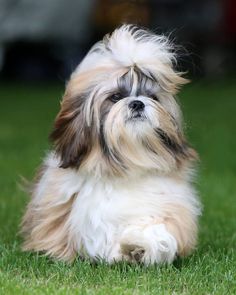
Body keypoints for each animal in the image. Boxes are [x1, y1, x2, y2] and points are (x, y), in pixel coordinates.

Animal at [21, 24, 201, 266]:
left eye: (152, 97)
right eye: (115, 97)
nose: (138, 103)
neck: (126, 168)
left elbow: (159, 233)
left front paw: (139, 244)